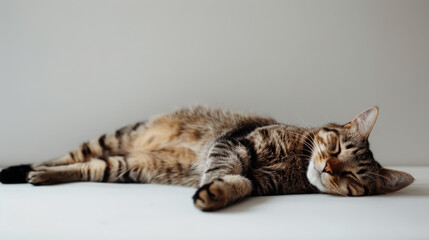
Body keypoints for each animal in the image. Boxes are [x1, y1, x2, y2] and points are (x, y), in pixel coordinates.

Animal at [0, 106, 414, 211]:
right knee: (69, 154)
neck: (296, 163)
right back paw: (22, 169)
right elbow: (225, 169)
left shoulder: (258, 180)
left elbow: (241, 181)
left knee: (86, 167)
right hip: (113, 138)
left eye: (353, 178)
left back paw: (39, 175)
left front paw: (217, 193)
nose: (328, 167)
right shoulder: (235, 143)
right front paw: (212, 185)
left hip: (123, 167)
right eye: (337, 148)